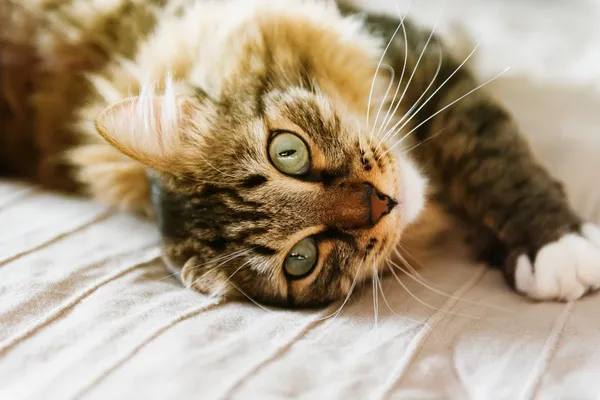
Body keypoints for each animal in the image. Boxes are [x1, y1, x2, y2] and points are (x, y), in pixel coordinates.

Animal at [1, 0, 600, 308]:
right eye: (301, 260)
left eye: (286, 151)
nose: (379, 204)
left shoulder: (420, 59)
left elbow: (495, 161)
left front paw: (553, 245)